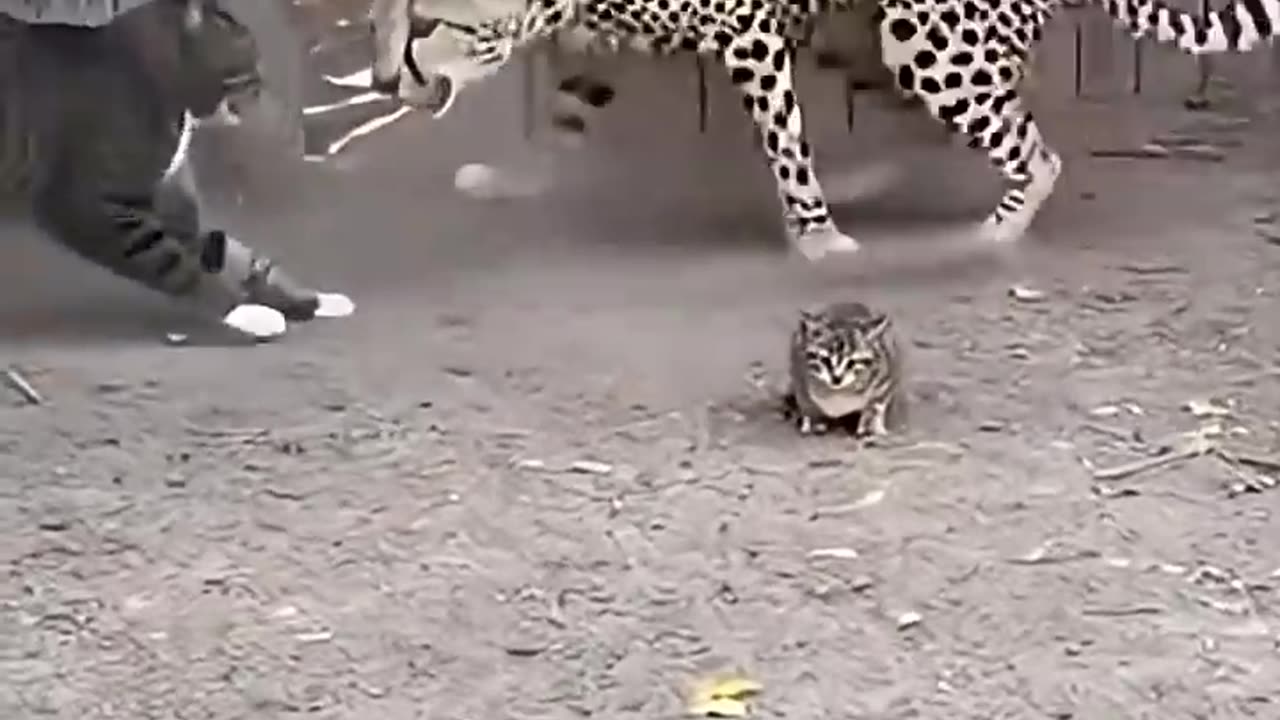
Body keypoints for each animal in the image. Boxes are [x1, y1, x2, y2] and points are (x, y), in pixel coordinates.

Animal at [369, 0, 1277, 262]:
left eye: (423, 22)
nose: (383, 80)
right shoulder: (603, 45)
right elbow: (563, 116)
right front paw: (512, 179)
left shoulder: (747, 31)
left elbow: (781, 137)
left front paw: (814, 238)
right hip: (875, 34)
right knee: (923, 124)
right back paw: (868, 180)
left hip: (922, 35)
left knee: (1035, 151)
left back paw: (988, 235)